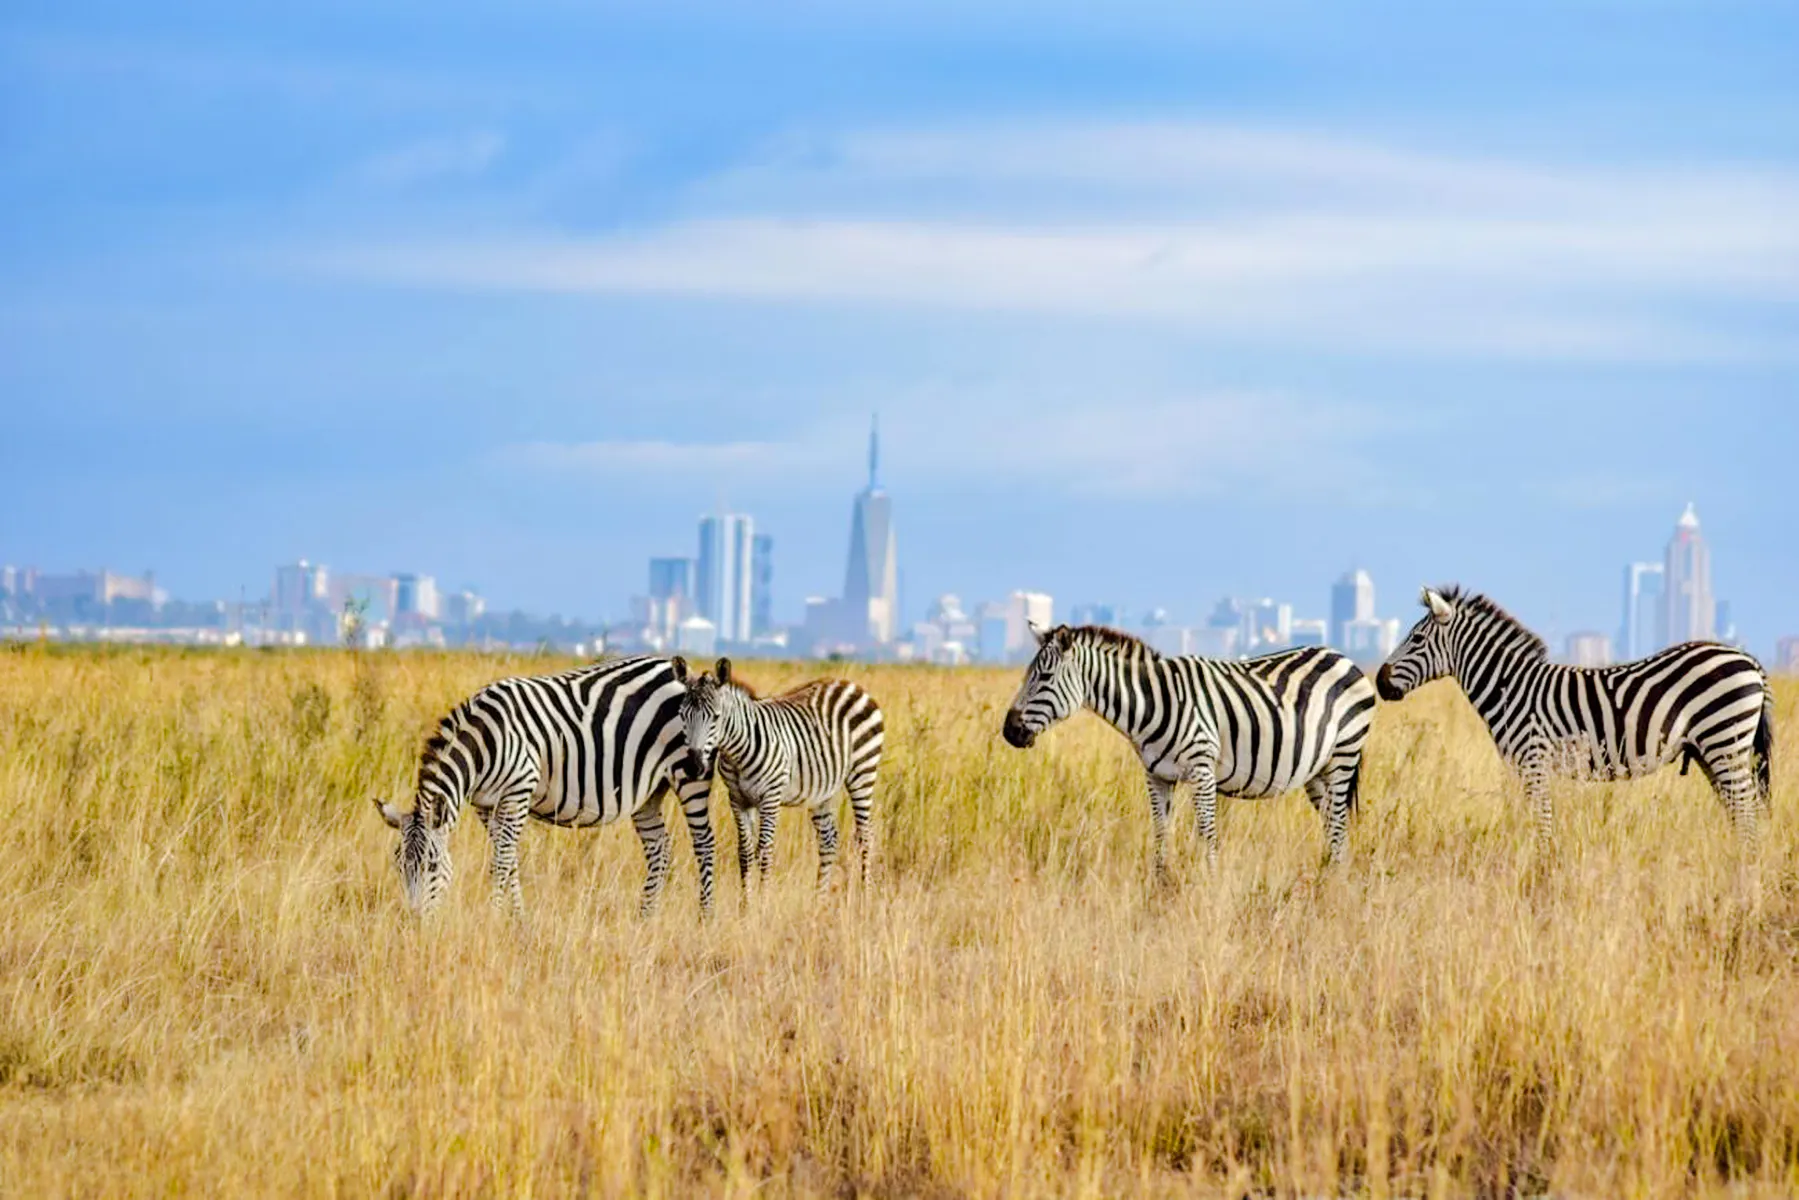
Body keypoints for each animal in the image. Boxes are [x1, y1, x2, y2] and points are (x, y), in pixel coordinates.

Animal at [372, 654, 717, 918]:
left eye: (432, 865)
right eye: (398, 866)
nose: (415, 921)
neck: (483, 743)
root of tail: (673, 669)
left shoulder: (518, 790)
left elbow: (501, 861)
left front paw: (494, 918)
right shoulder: (485, 804)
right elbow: (509, 861)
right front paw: (517, 920)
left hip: (689, 773)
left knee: (704, 842)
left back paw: (705, 918)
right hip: (648, 791)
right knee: (660, 847)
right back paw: (645, 917)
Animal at [673, 656, 883, 896]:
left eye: (716, 717)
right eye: (682, 715)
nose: (693, 766)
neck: (737, 753)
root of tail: (851, 684)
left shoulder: (770, 797)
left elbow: (765, 851)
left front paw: (763, 901)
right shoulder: (737, 799)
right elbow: (744, 852)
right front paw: (745, 903)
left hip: (863, 772)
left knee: (866, 836)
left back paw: (865, 895)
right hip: (822, 789)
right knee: (828, 839)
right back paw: (819, 899)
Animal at [1001, 624, 1378, 871]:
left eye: (1044, 678)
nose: (1008, 731)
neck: (1151, 704)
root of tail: (1343, 657)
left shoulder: (1202, 770)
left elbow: (1207, 835)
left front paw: (1209, 887)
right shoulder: (1157, 776)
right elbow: (1161, 835)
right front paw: (1160, 889)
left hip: (1344, 755)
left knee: (1339, 826)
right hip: (1317, 772)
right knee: (1333, 829)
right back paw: (1329, 880)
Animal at [1376, 585, 1775, 847]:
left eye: (1416, 639)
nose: (1379, 681)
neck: (1510, 687)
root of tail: (1750, 660)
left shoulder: (1533, 762)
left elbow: (1543, 823)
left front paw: (1544, 870)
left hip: (1724, 741)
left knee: (1747, 813)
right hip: (1713, 751)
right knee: (1739, 811)